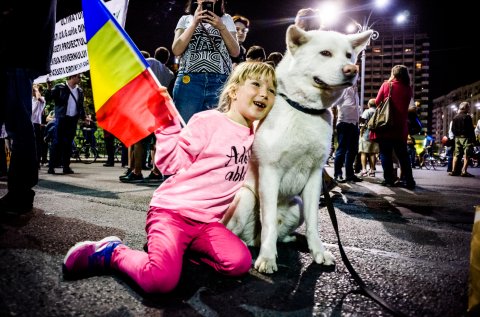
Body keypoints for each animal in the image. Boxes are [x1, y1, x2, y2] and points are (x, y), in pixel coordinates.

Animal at [223, 25, 374, 272]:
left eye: (349, 55)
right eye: (325, 53)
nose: (352, 70)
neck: (305, 110)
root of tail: (252, 239)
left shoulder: (314, 178)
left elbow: (314, 223)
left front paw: (318, 252)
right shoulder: (270, 172)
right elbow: (268, 223)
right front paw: (267, 258)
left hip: (298, 204)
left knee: (278, 233)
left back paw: (289, 239)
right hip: (245, 198)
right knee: (238, 231)